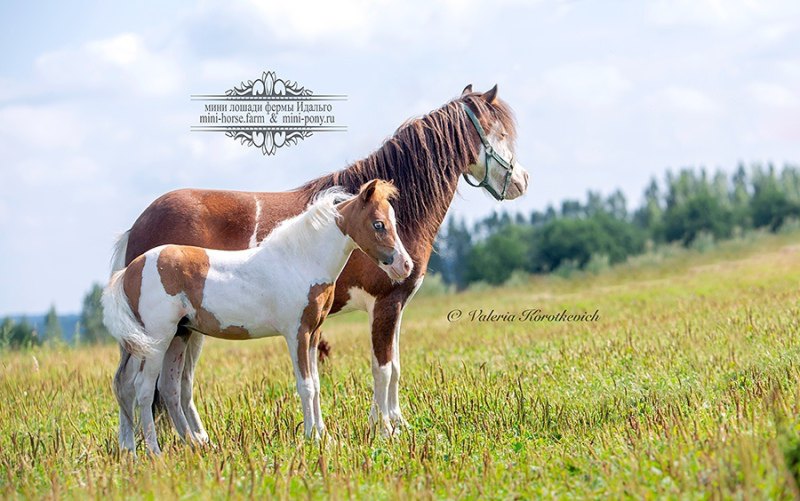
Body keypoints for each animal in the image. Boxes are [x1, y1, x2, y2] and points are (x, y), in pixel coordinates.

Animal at [111, 84, 524, 436]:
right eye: (500, 133)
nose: (522, 181)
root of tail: (136, 228)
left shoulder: (395, 307)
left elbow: (394, 366)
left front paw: (395, 424)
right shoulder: (385, 304)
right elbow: (383, 368)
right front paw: (385, 429)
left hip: (187, 330)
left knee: (172, 385)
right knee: (146, 385)